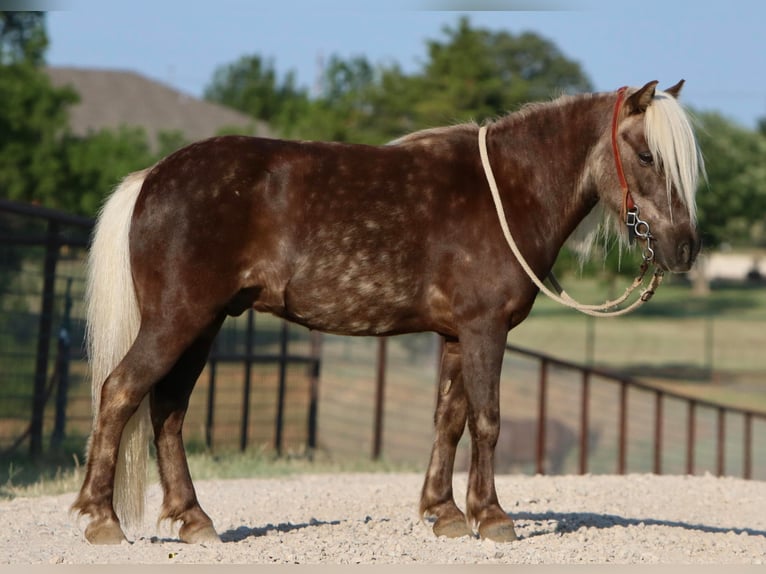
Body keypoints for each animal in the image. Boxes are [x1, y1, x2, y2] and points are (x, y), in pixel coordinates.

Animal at [72, 80, 708, 544]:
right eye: (647, 155)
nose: (684, 249)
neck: (507, 189)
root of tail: (151, 178)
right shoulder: (485, 329)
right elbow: (487, 419)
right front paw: (492, 517)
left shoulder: (457, 335)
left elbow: (449, 420)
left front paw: (444, 513)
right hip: (176, 321)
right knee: (120, 393)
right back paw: (103, 522)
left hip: (202, 326)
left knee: (168, 411)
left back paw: (194, 520)